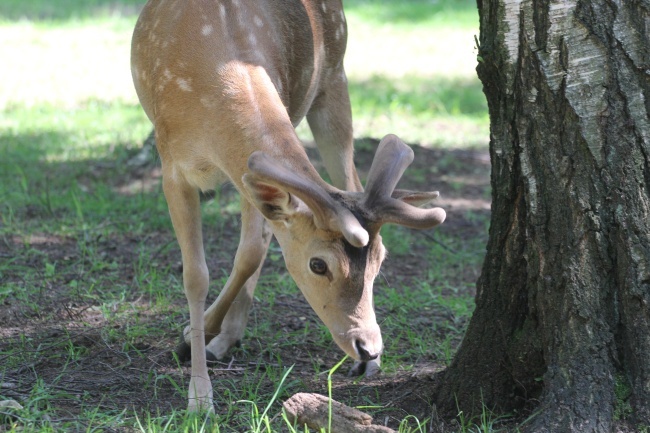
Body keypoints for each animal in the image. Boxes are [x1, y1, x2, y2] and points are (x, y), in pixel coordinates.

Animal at [132, 0, 446, 410]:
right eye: (318, 264)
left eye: (381, 258)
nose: (368, 347)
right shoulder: (172, 166)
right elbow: (196, 275)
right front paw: (199, 396)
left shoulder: (249, 170)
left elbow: (249, 254)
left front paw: (197, 341)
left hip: (333, 77)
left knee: (345, 185)